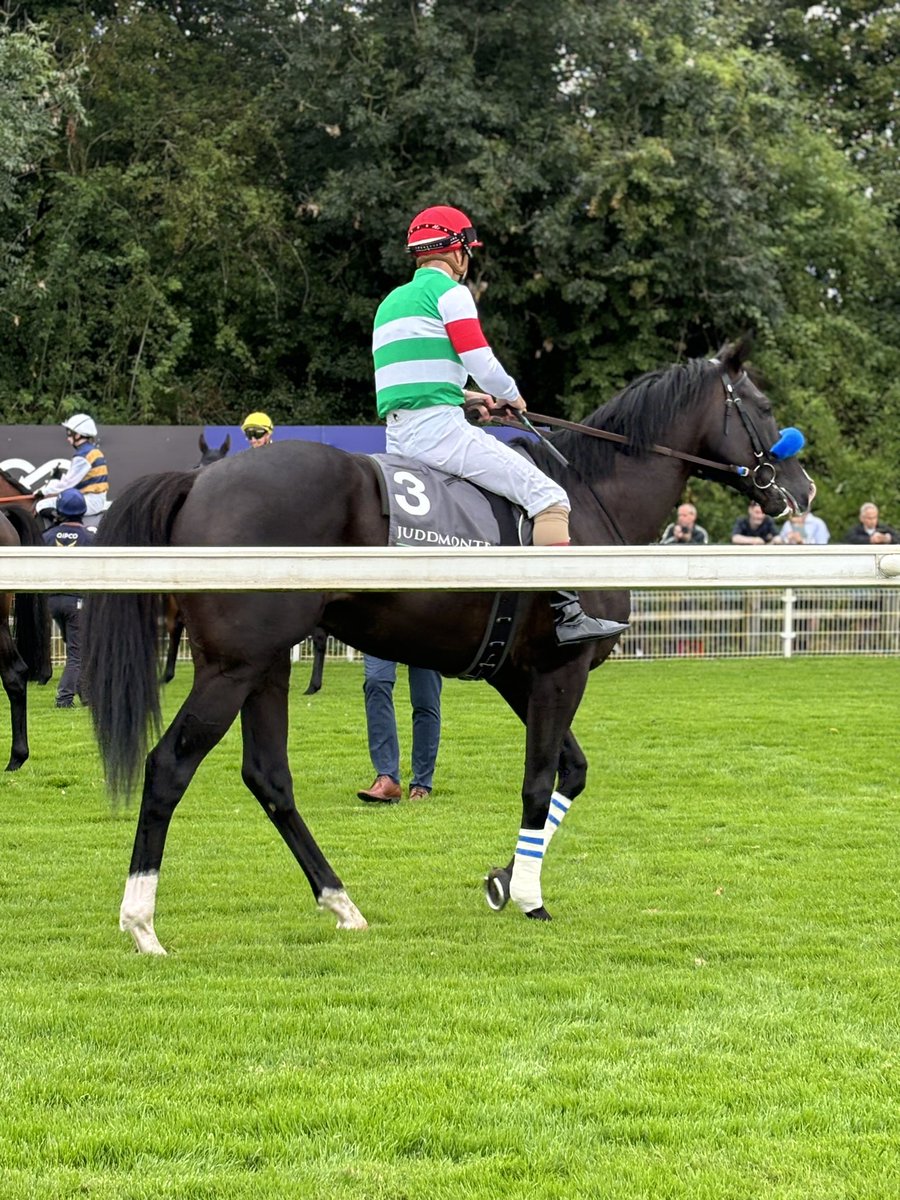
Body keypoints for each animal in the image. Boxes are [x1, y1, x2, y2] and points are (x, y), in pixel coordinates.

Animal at [82, 340, 814, 954]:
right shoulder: (562, 668)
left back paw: (341, 903)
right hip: (233, 667)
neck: (589, 501)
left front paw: (505, 877)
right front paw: (530, 897)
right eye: (764, 406)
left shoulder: (515, 674)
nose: (802, 490)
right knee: (169, 765)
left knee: (269, 777)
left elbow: (569, 773)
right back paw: (142, 923)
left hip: (263, 668)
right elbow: (538, 779)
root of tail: (200, 481)